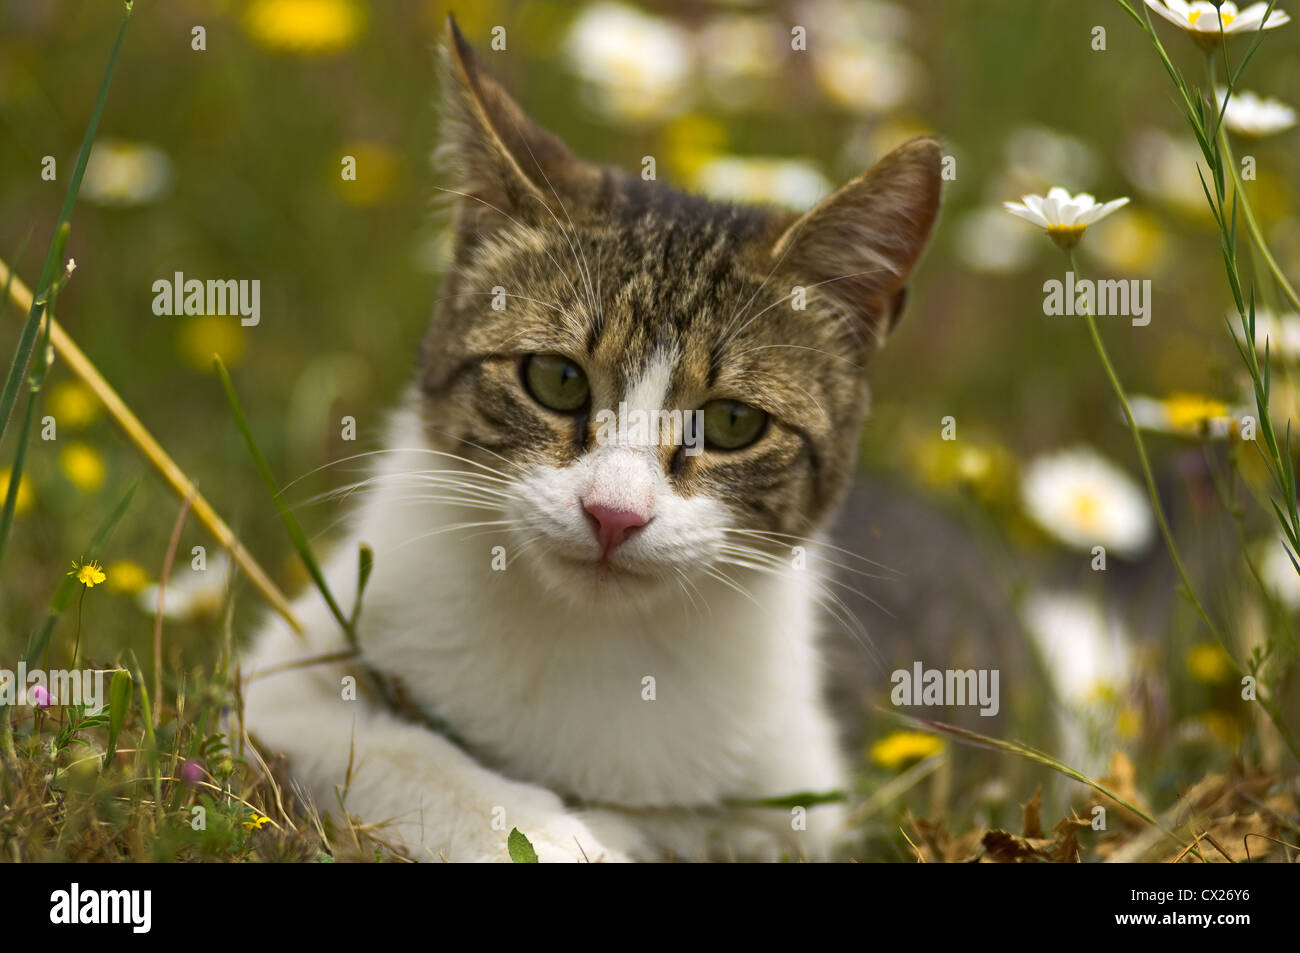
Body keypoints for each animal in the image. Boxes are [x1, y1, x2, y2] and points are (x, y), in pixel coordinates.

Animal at [241, 16, 935, 863]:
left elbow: (706, 822)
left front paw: (608, 825)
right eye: (557, 379)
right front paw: (549, 831)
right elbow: (393, 750)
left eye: (733, 423)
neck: (587, 629)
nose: (614, 514)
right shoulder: (277, 684)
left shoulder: (806, 797)